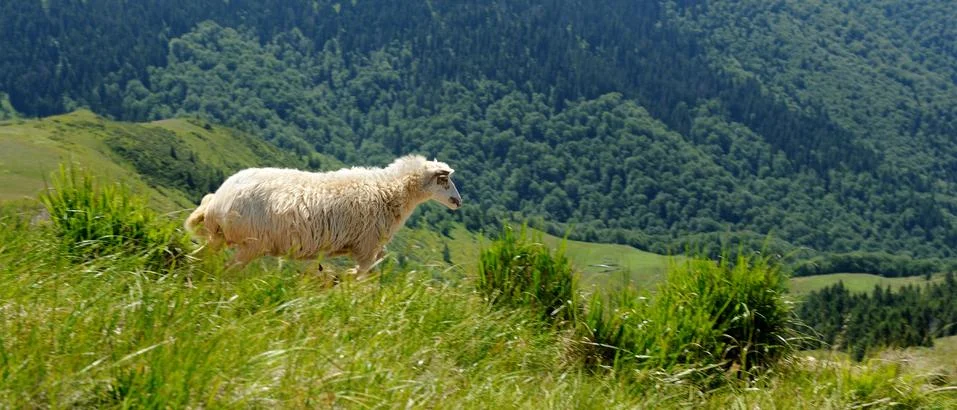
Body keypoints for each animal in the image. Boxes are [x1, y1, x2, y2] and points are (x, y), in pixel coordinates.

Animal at [183, 155, 462, 279]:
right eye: (444, 180)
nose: (459, 202)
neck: (388, 191)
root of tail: (217, 200)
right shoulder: (367, 247)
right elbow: (362, 275)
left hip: (220, 239)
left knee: (200, 257)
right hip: (251, 245)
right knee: (226, 269)